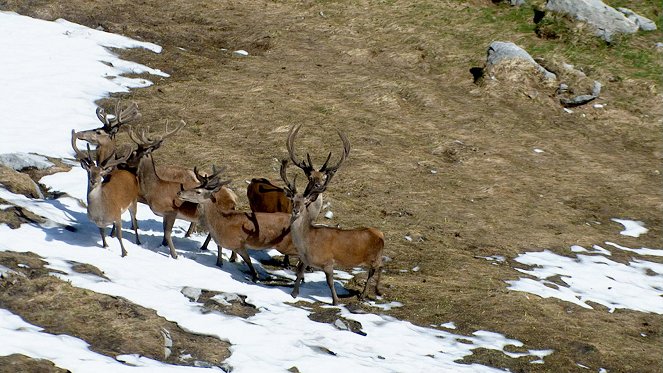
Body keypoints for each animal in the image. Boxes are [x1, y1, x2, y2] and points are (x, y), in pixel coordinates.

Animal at [280, 132, 384, 304]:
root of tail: (380, 234)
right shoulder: (306, 260)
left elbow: (330, 282)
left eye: (305, 203)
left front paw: (336, 301)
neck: (307, 243)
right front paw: (294, 293)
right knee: (375, 269)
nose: (295, 211)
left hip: (375, 256)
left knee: (379, 267)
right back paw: (366, 293)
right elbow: (299, 273)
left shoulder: (328, 262)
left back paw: (372, 292)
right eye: (292, 200)